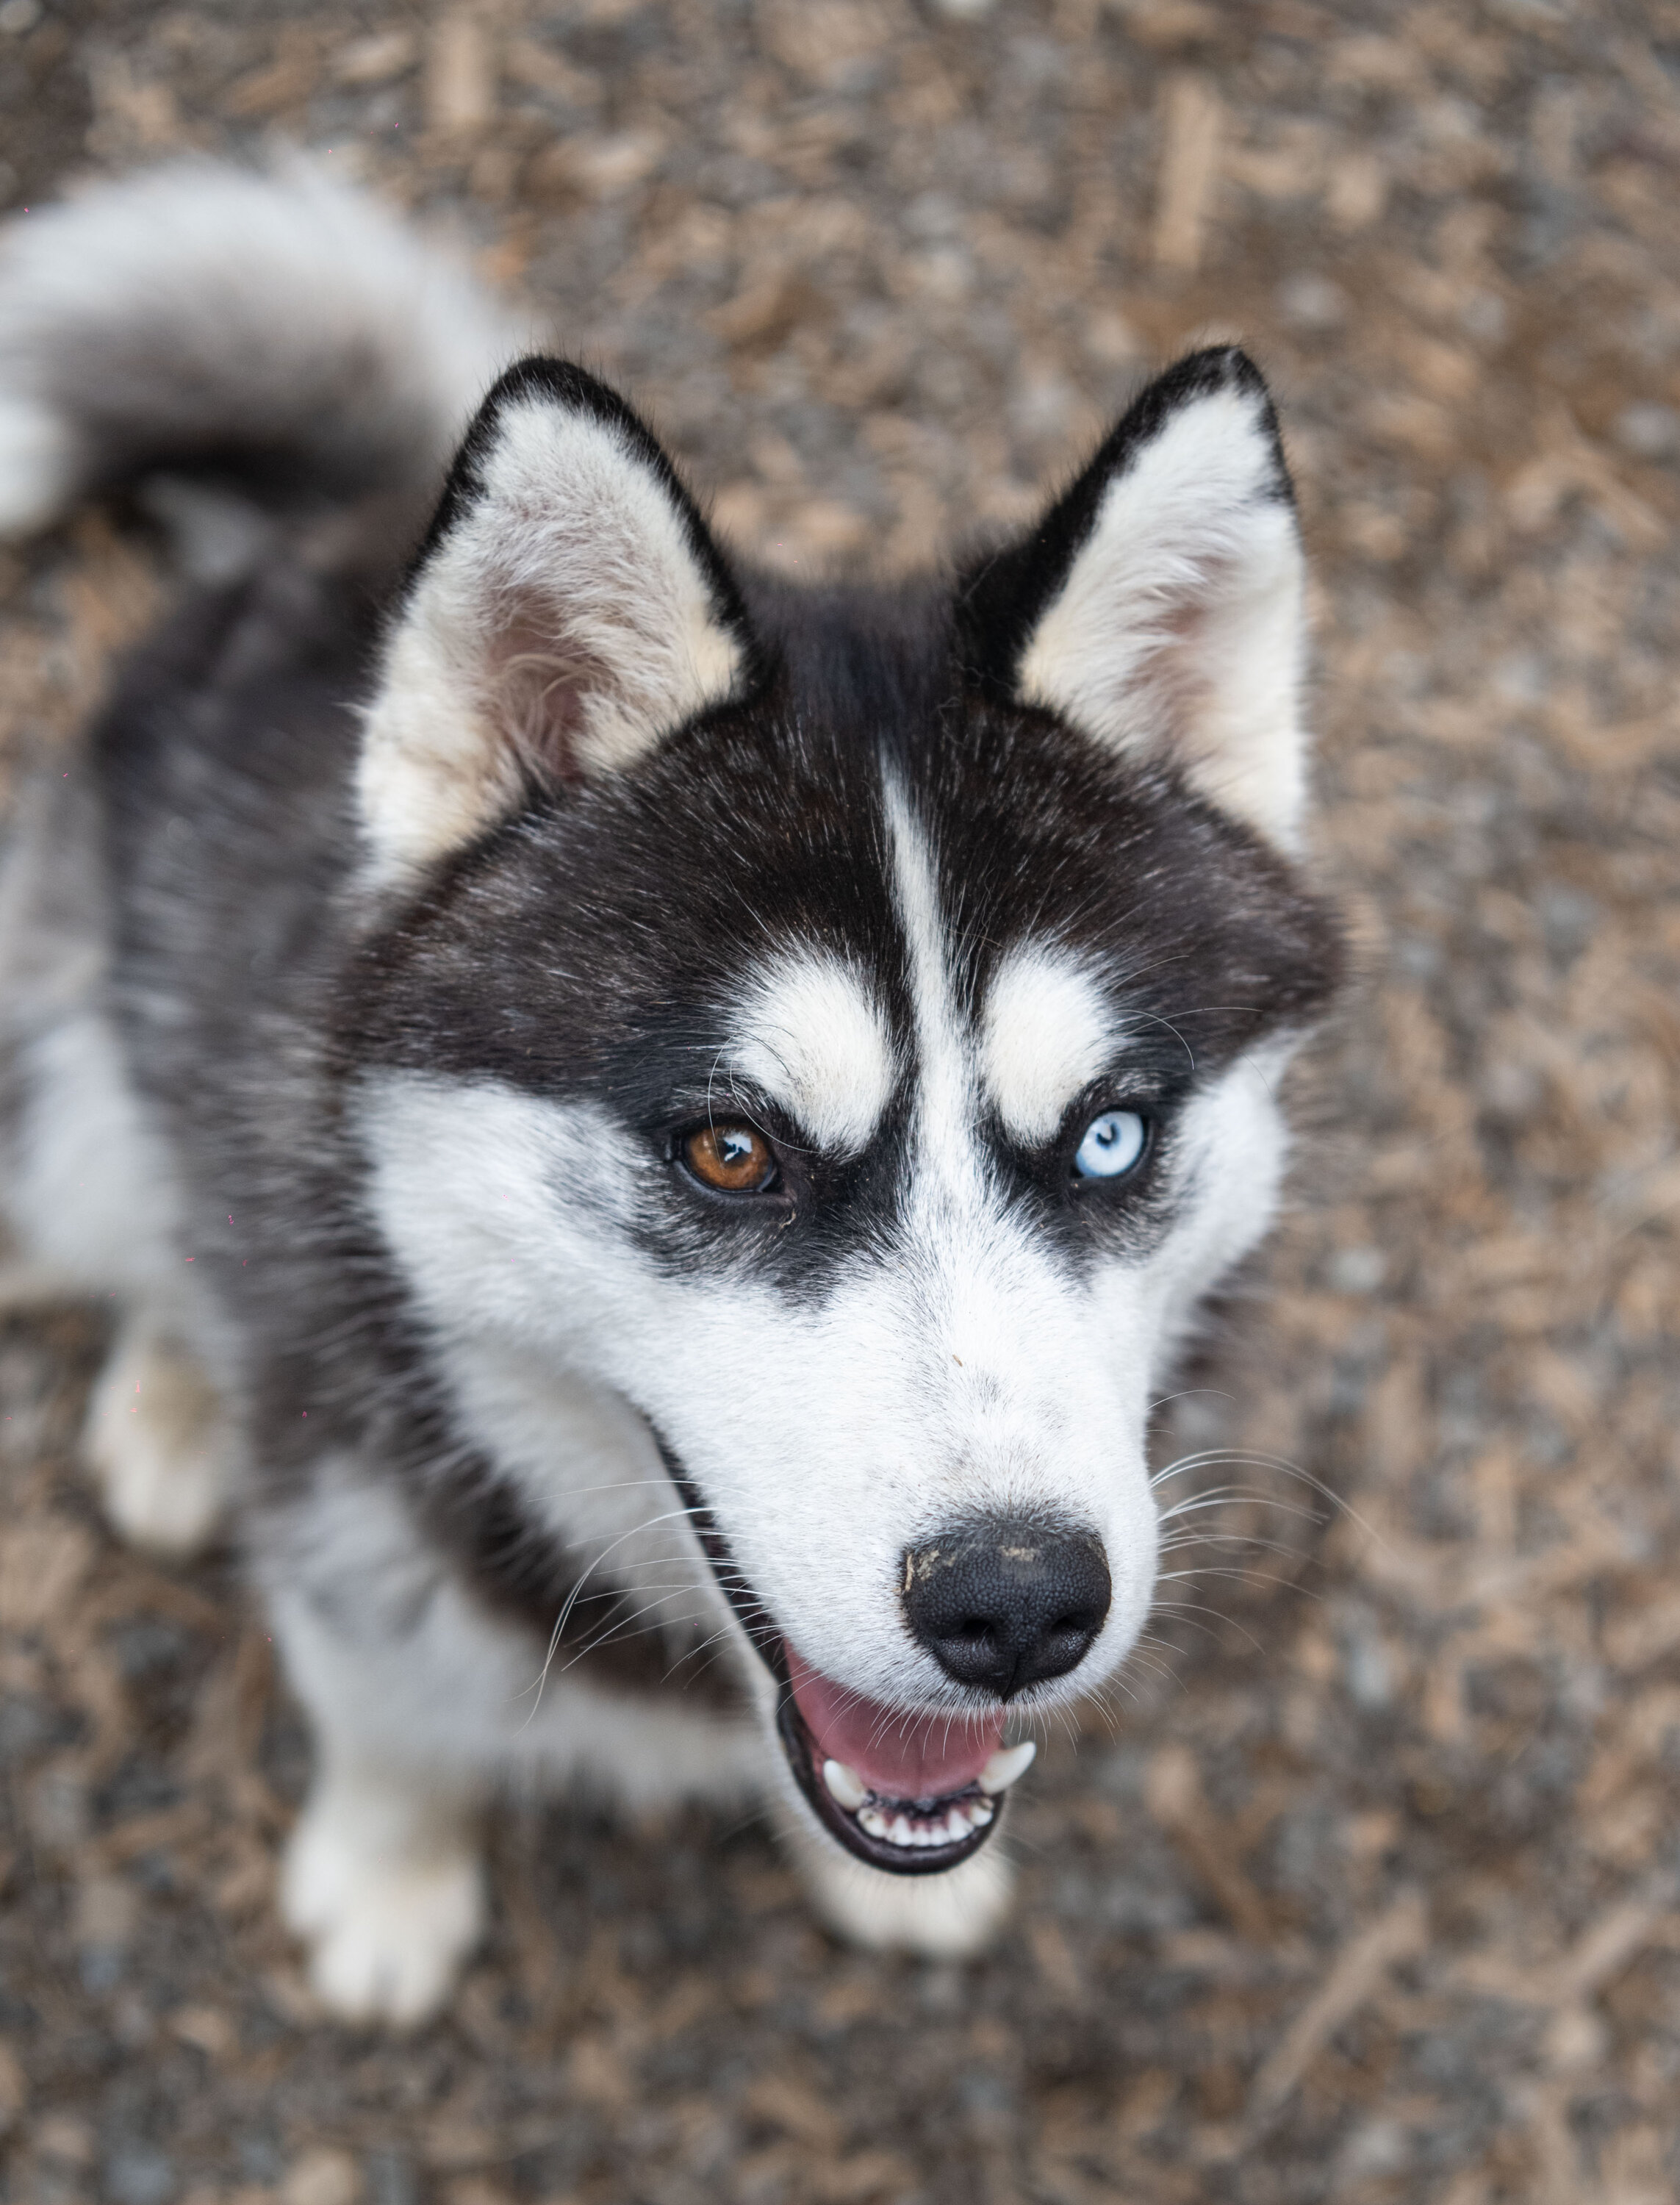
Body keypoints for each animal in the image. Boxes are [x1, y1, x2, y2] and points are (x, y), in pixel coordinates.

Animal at [0, 159, 1332, 2020]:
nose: (1017, 1605)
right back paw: (174, 1401)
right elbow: (388, 1718)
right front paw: (389, 1871)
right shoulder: (354, 1527)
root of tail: (357, 527)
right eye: (730, 1151)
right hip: (80, 1090)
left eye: (1109, 1135)